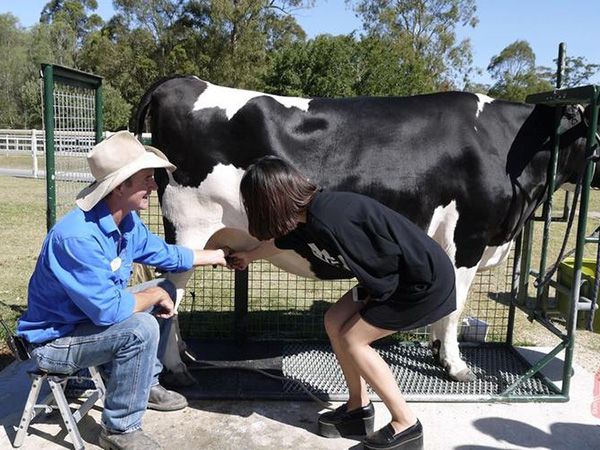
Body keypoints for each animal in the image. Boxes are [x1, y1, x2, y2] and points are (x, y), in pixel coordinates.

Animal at [135, 75, 596, 382]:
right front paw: (455, 365)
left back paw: (185, 356)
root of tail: (182, 81)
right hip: (189, 228)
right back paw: (175, 367)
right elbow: (455, 307)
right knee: (168, 298)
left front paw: (435, 353)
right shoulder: (469, 239)